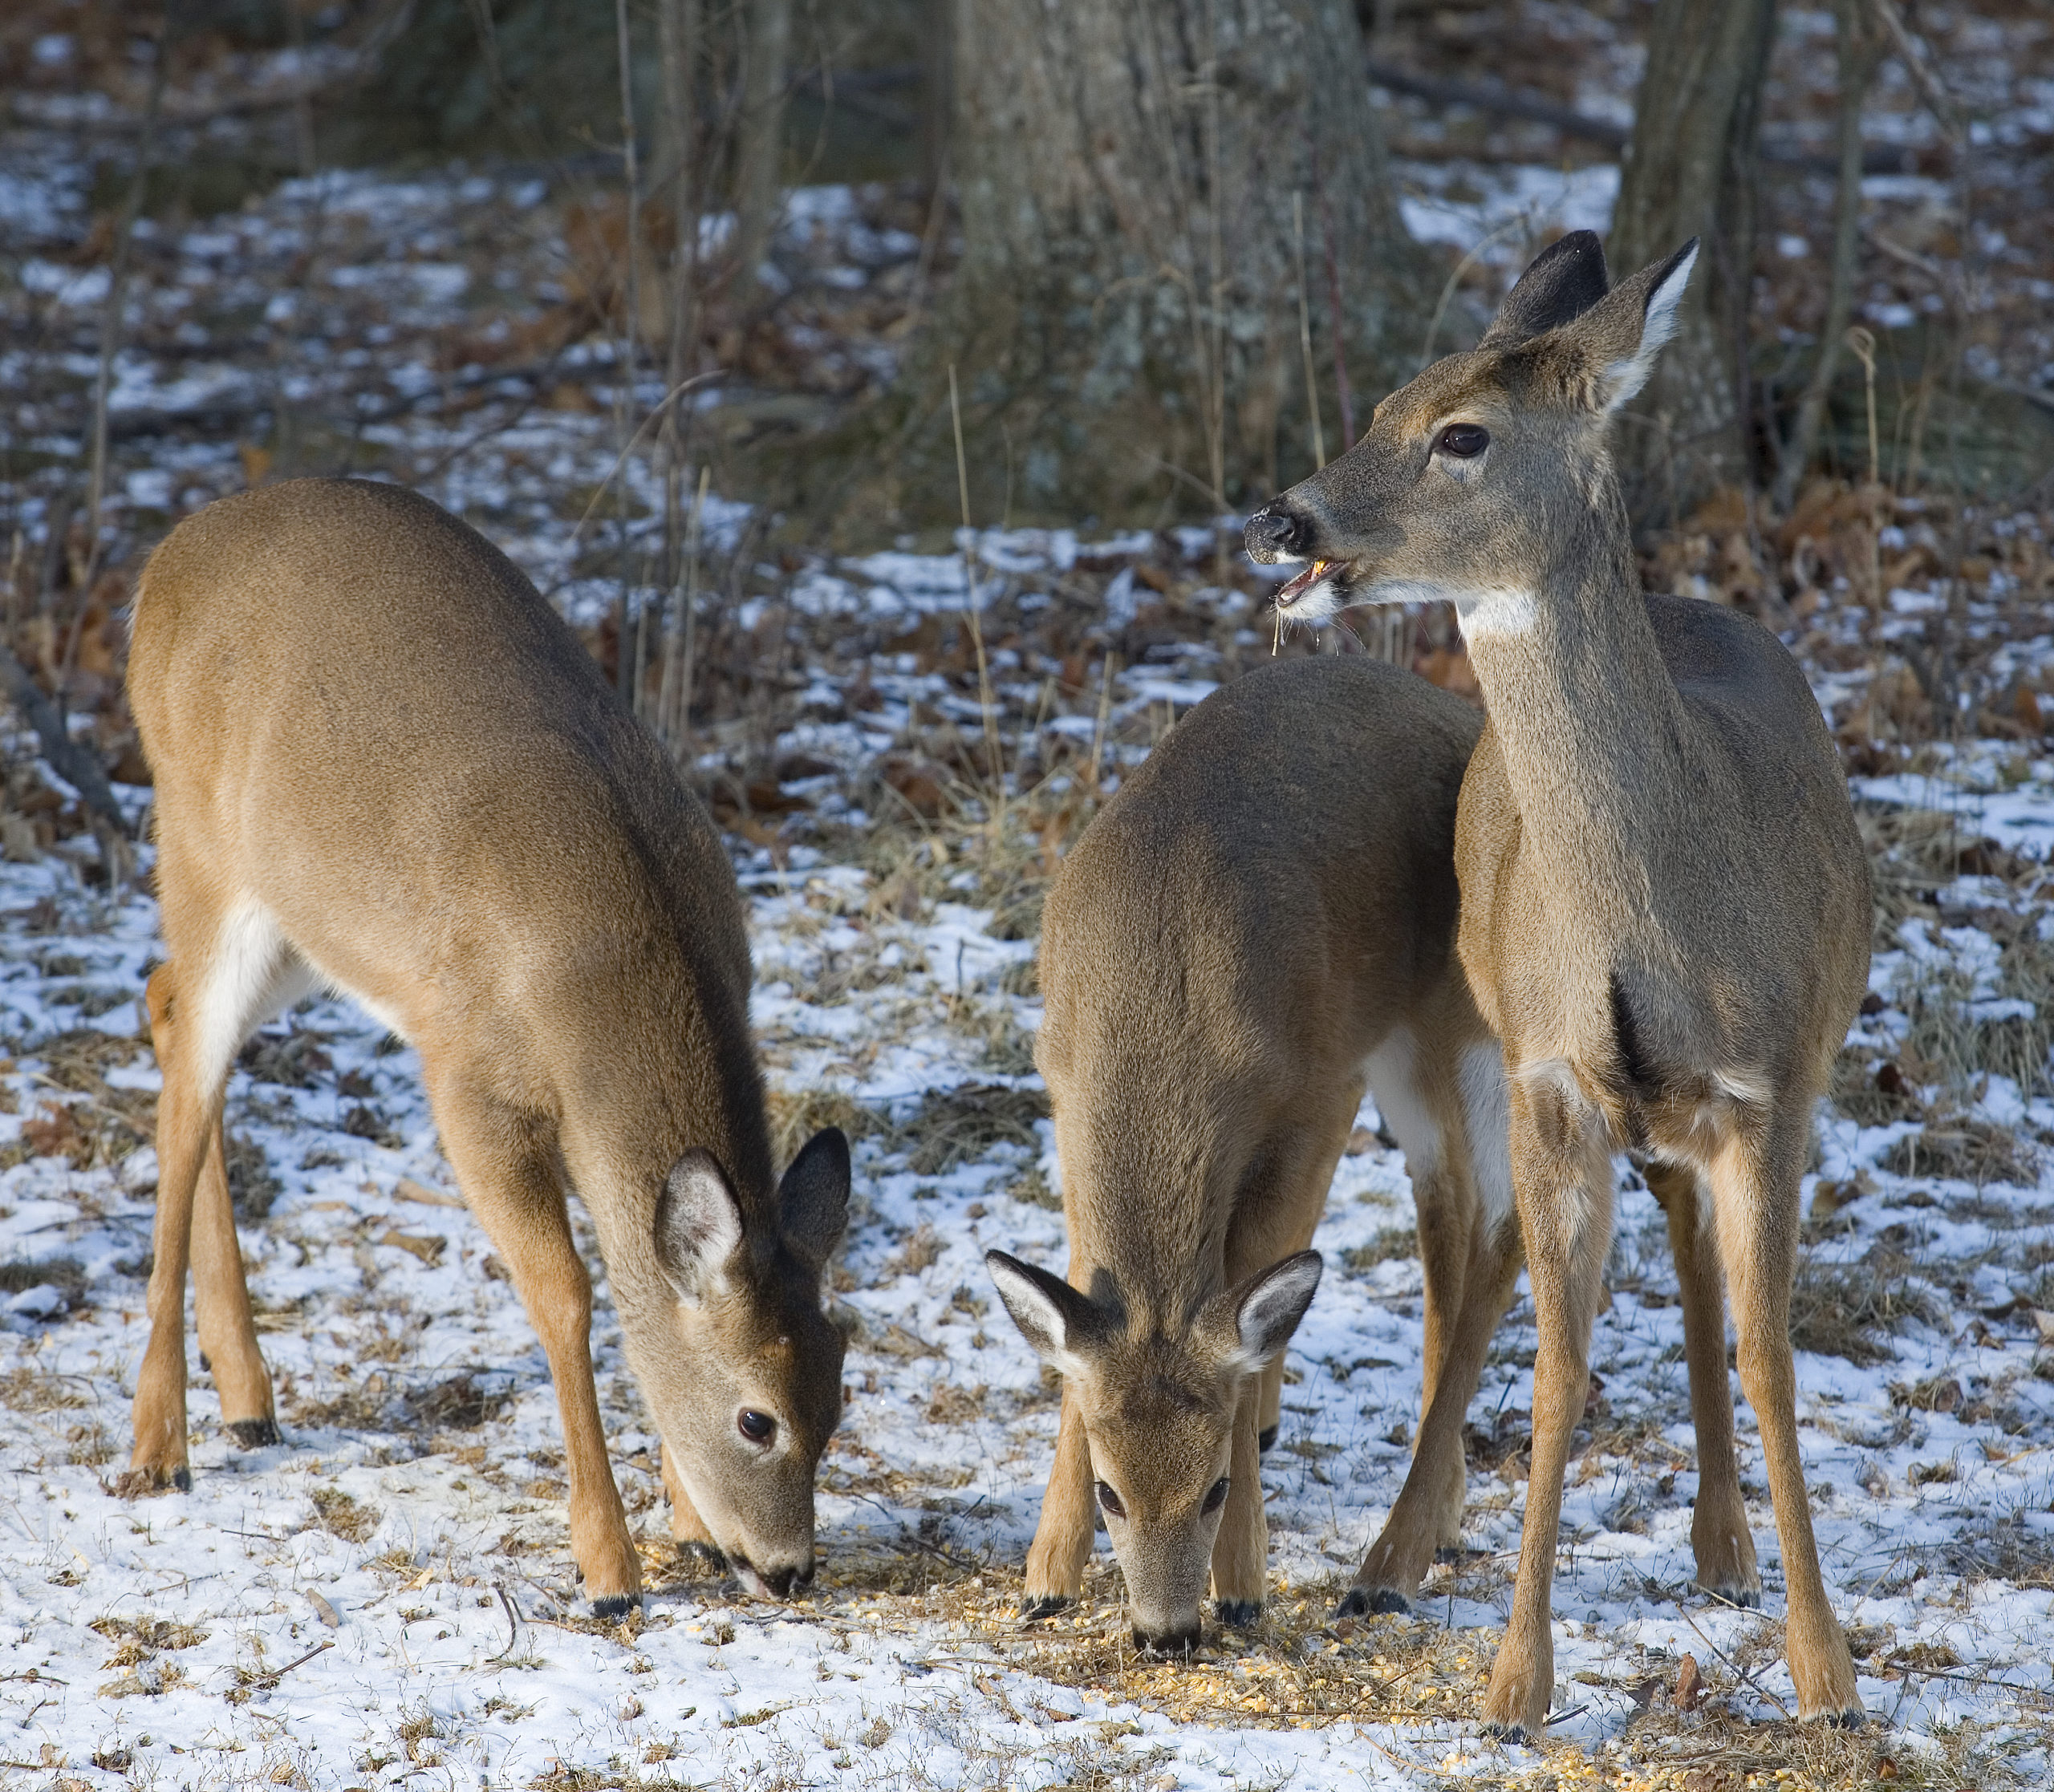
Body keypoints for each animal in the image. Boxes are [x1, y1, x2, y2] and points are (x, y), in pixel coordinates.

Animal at [122, 472, 850, 1609]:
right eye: (755, 1415)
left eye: (838, 1399)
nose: (787, 1570)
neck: (604, 972)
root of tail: (164, 562)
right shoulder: (469, 1079)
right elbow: (567, 1291)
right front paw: (609, 1566)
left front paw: (689, 1528)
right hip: (200, 842)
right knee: (188, 1074)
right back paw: (161, 1441)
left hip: (308, 918)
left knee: (160, 1001)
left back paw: (248, 1399)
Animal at [985, 652, 1520, 1650]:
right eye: (1112, 1494)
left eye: (1211, 1490)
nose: (1165, 1631)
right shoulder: (1063, 1095)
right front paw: (1044, 1575)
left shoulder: (1315, 1090)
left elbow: (1253, 1282)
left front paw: (1241, 1581)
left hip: (1455, 1030)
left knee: (1477, 1228)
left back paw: (1410, 1539)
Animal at [1240, 233, 1873, 1732]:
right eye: (1380, 404)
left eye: (1461, 433)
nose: (1281, 520)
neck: (1654, 917)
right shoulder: (1549, 1072)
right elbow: (1560, 1359)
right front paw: (1515, 1678)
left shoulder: (1775, 1081)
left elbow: (1772, 1354)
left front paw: (1827, 1674)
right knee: (1532, 1261)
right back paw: (1398, 1554)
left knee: (1692, 1264)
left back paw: (1723, 1542)